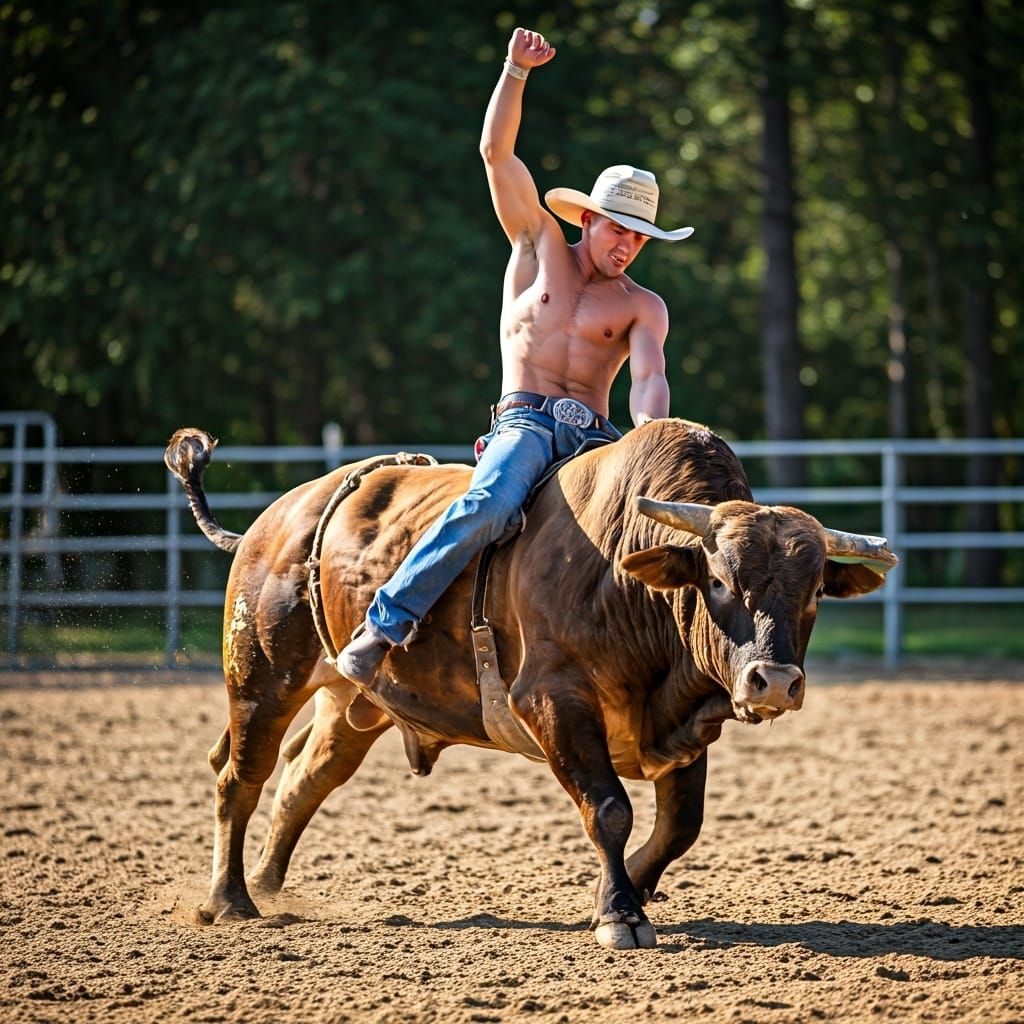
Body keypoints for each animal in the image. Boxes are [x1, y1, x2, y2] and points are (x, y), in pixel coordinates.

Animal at [164, 417, 896, 950]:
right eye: (717, 580)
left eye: (814, 594)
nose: (773, 682)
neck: (625, 577)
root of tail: (275, 518)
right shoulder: (551, 700)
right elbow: (609, 808)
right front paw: (620, 914)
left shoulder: (688, 723)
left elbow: (679, 826)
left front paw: (624, 892)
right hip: (262, 677)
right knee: (242, 774)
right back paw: (230, 899)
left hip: (352, 706)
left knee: (304, 779)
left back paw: (267, 881)